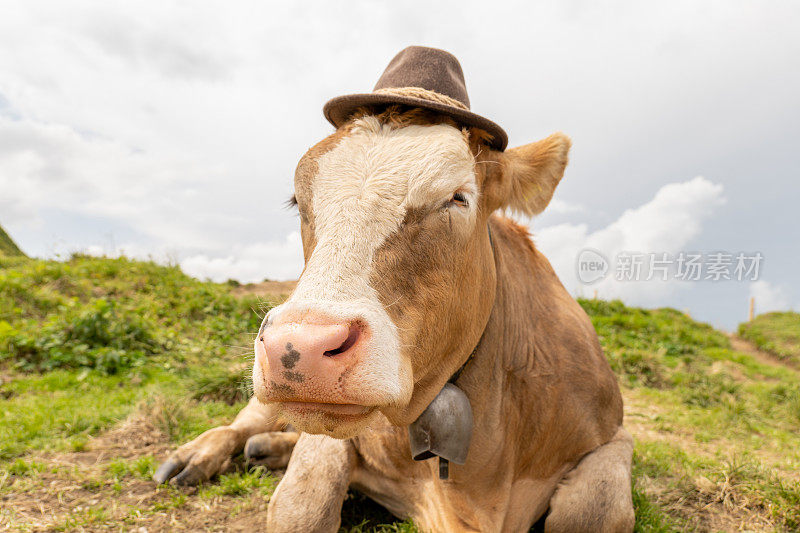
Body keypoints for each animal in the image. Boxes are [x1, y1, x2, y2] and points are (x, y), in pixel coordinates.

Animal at [153, 46, 636, 532]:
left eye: (458, 198)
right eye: (297, 202)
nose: (300, 346)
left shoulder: (614, 439)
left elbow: (592, 510)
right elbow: (303, 503)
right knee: (244, 424)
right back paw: (200, 454)